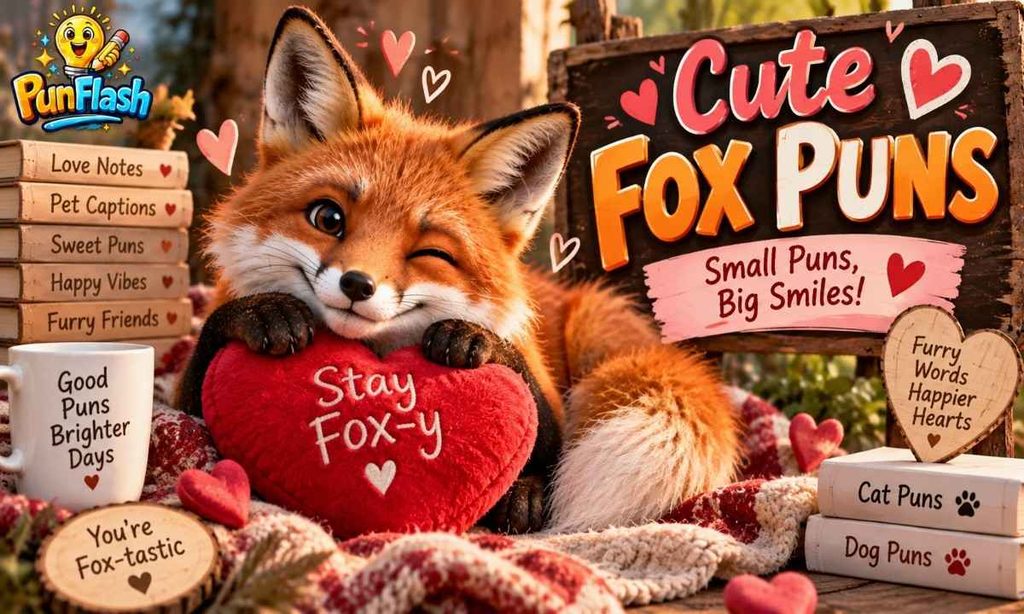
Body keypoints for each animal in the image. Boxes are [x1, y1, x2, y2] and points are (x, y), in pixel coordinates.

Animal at [176, 6, 739, 534]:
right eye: (327, 218)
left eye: (431, 254)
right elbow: (196, 381)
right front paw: (261, 312)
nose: (357, 284)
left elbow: (542, 429)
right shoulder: (189, 404)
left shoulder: (548, 407)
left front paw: (478, 344)